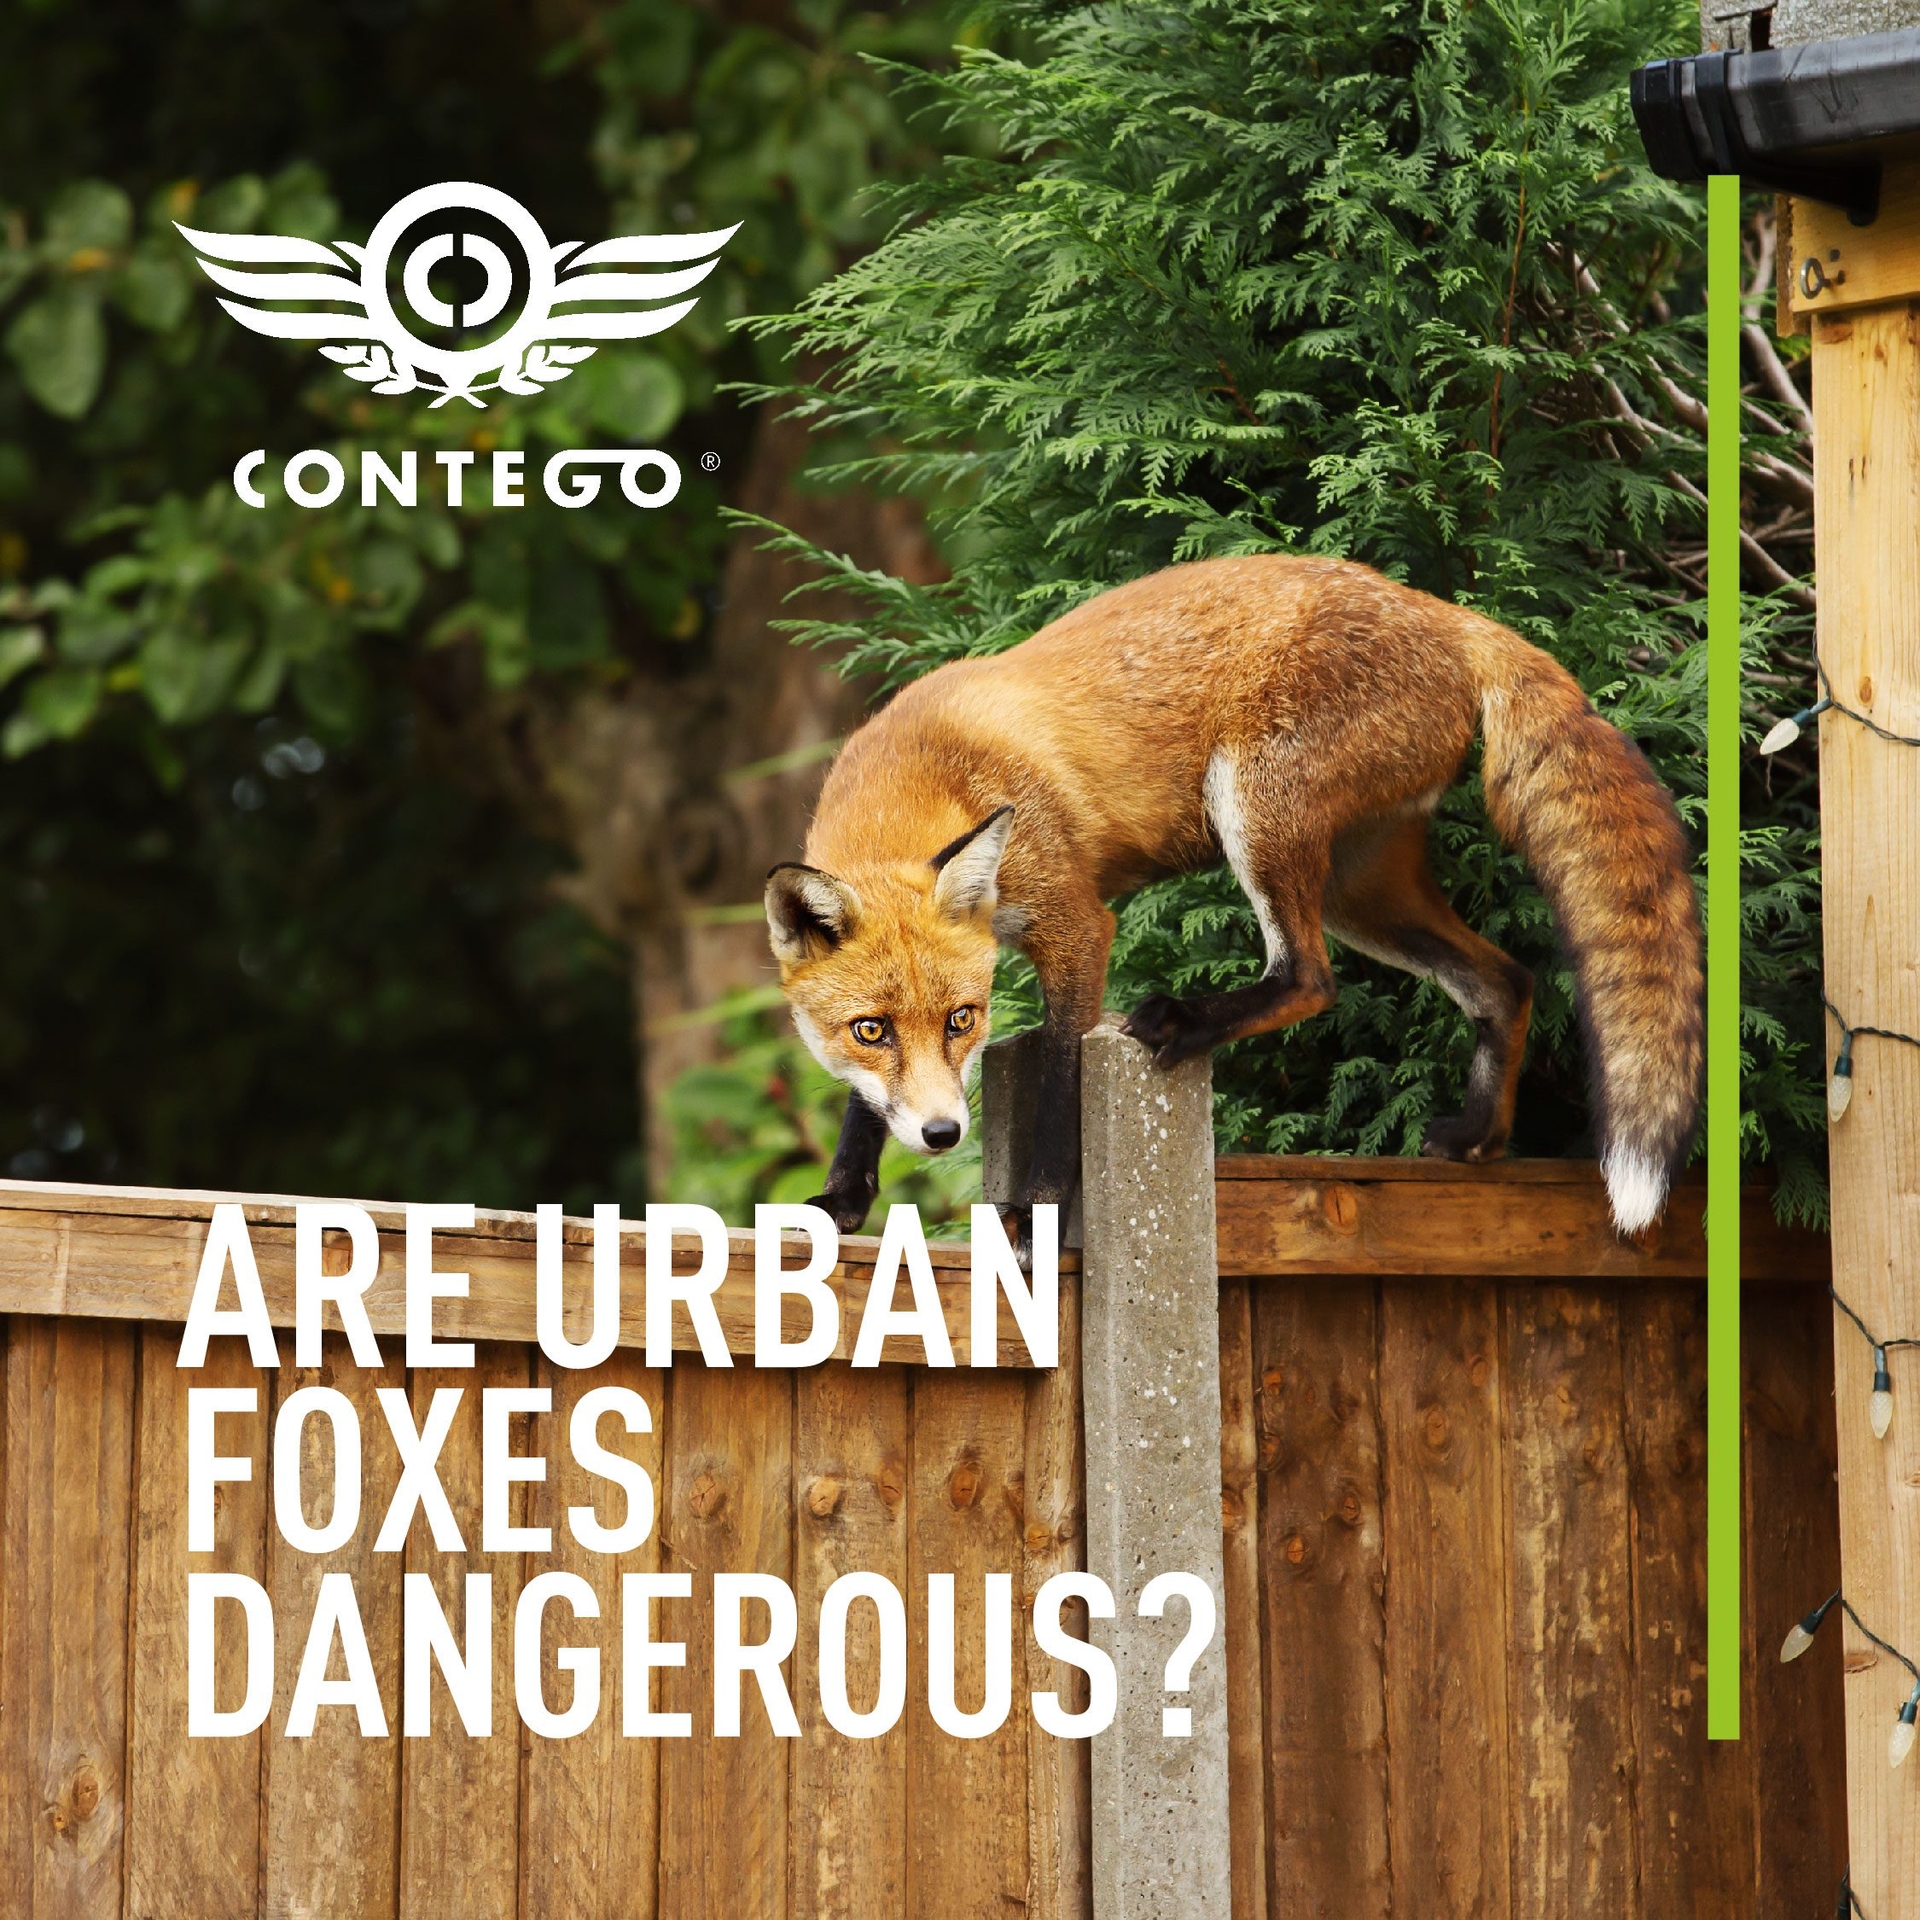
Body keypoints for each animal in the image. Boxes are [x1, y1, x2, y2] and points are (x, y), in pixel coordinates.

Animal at [764, 555, 1703, 1254]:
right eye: (871, 1030)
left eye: (964, 1020)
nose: (943, 1137)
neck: (931, 770)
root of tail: (1446, 613)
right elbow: (863, 1104)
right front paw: (844, 1198)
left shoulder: (1078, 926)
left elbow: (1063, 1082)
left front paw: (1040, 1213)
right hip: (1361, 888)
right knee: (1503, 981)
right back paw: (1478, 1137)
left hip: (1255, 812)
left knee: (1311, 978)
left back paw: (1187, 1021)